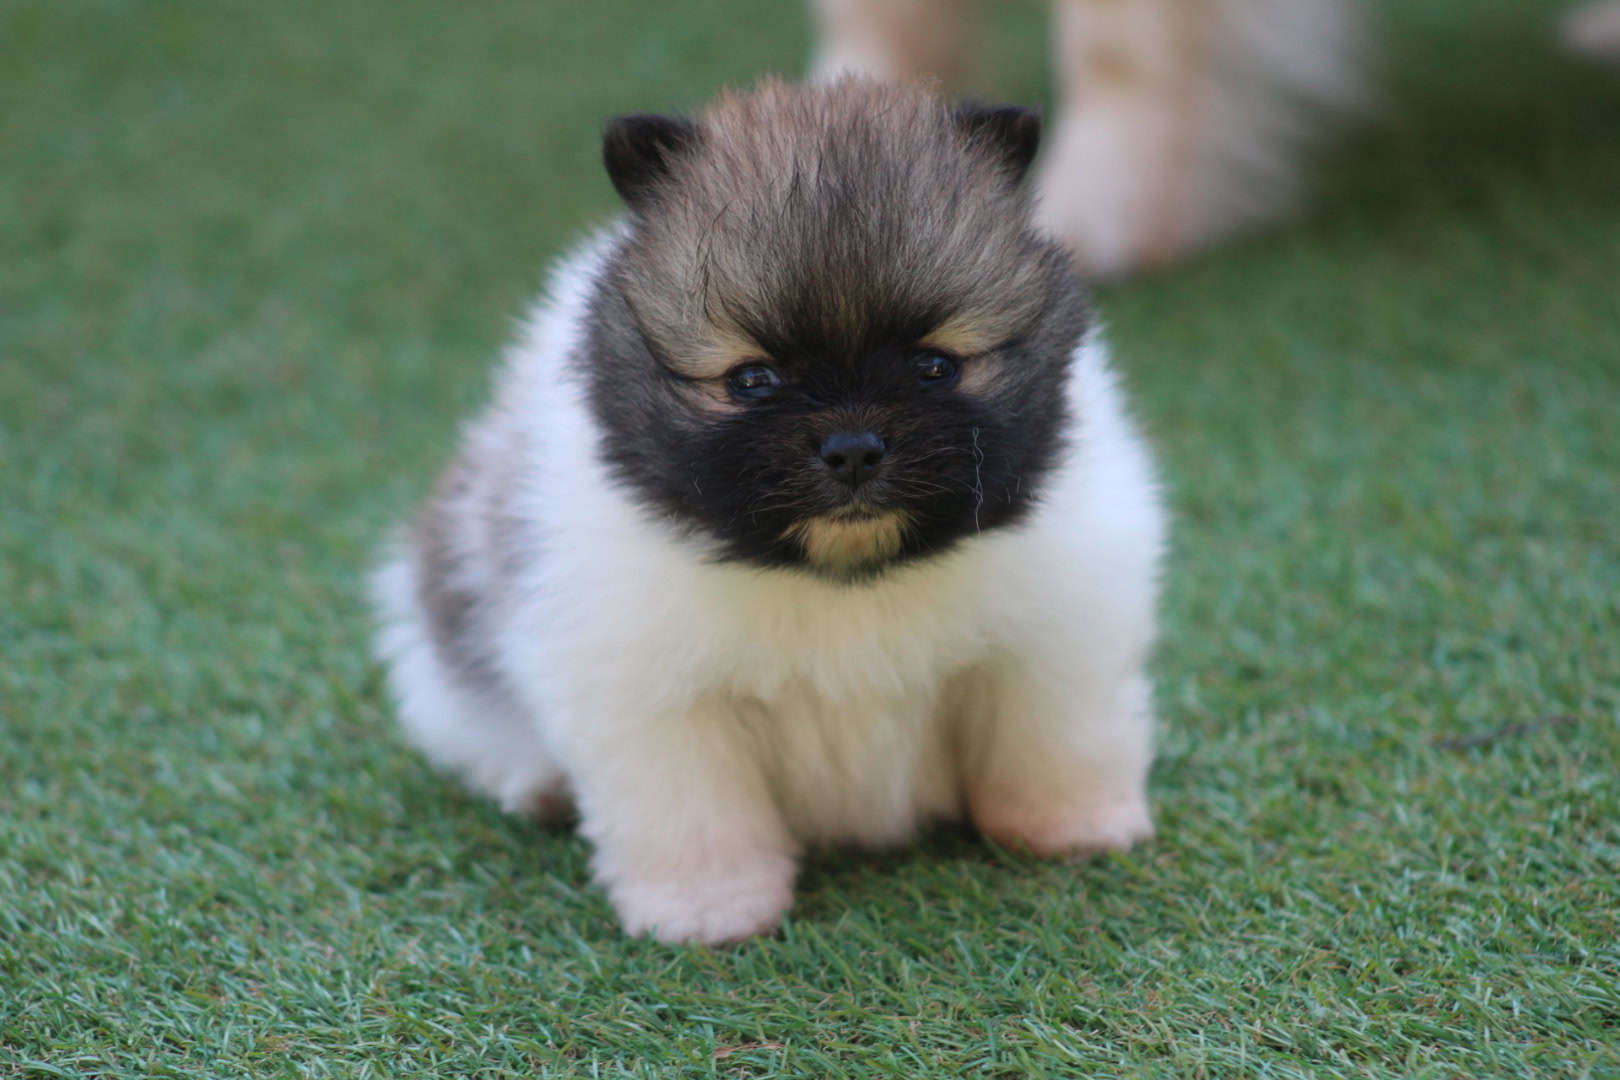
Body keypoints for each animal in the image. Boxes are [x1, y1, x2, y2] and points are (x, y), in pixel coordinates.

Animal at [372, 78, 1172, 945]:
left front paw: (1073, 828)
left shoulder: (1052, 641)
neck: (843, 578)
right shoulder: (656, 697)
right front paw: (707, 910)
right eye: (752, 381)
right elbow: (694, 811)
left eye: (933, 366)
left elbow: (1054, 742)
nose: (853, 448)